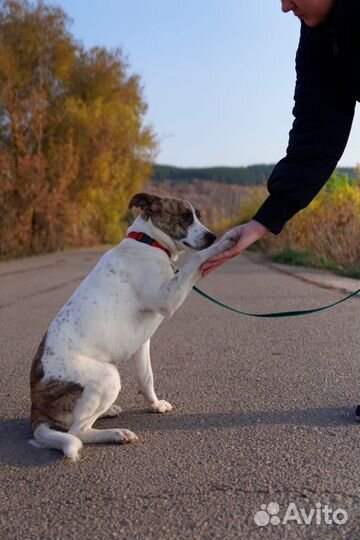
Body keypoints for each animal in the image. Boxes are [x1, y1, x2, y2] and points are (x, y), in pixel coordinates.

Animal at [30, 192, 239, 462]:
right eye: (184, 216)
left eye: (199, 216)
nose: (211, 236)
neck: (148, 242)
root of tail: (36, 407)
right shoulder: (167, 298)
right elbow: (196, 259)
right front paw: (224, 243)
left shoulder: (142, 344)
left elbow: (146, 378)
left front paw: (155, 405)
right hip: (108, 375)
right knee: (78, 431)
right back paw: (117, 434)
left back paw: (109, 411)